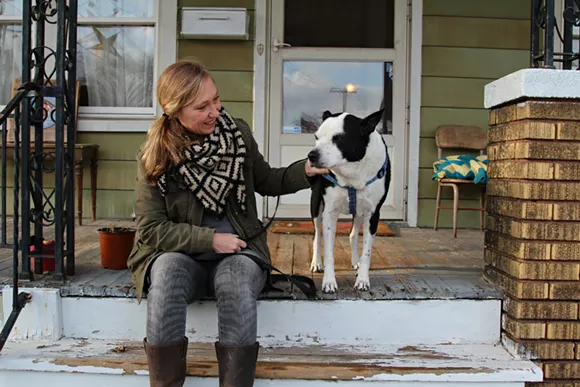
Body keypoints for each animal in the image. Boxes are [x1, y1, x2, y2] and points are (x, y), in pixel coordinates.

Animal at [306, 110, 392, 294]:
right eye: (316, 137)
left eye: (338, 138)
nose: (311, 155)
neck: (352, 171)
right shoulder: (329, 212)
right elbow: (329, 251)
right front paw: (329, 282)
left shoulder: (373, 214)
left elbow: (367, 251)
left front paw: (363, 280)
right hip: (316, 205)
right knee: (317, 234)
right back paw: (316, 262)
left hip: (359, 211)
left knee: (353, 234)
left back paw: (355, 261)